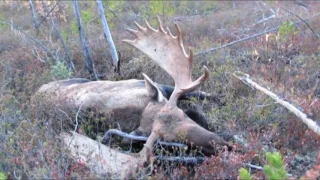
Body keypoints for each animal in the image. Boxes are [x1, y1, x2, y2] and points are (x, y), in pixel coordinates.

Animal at [33, 16, 231, 160]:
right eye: (170, 140)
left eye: (181, 115)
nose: (224, 145)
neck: (138, 110)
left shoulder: (161, 89)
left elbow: (202, 94)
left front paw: (220, 98)